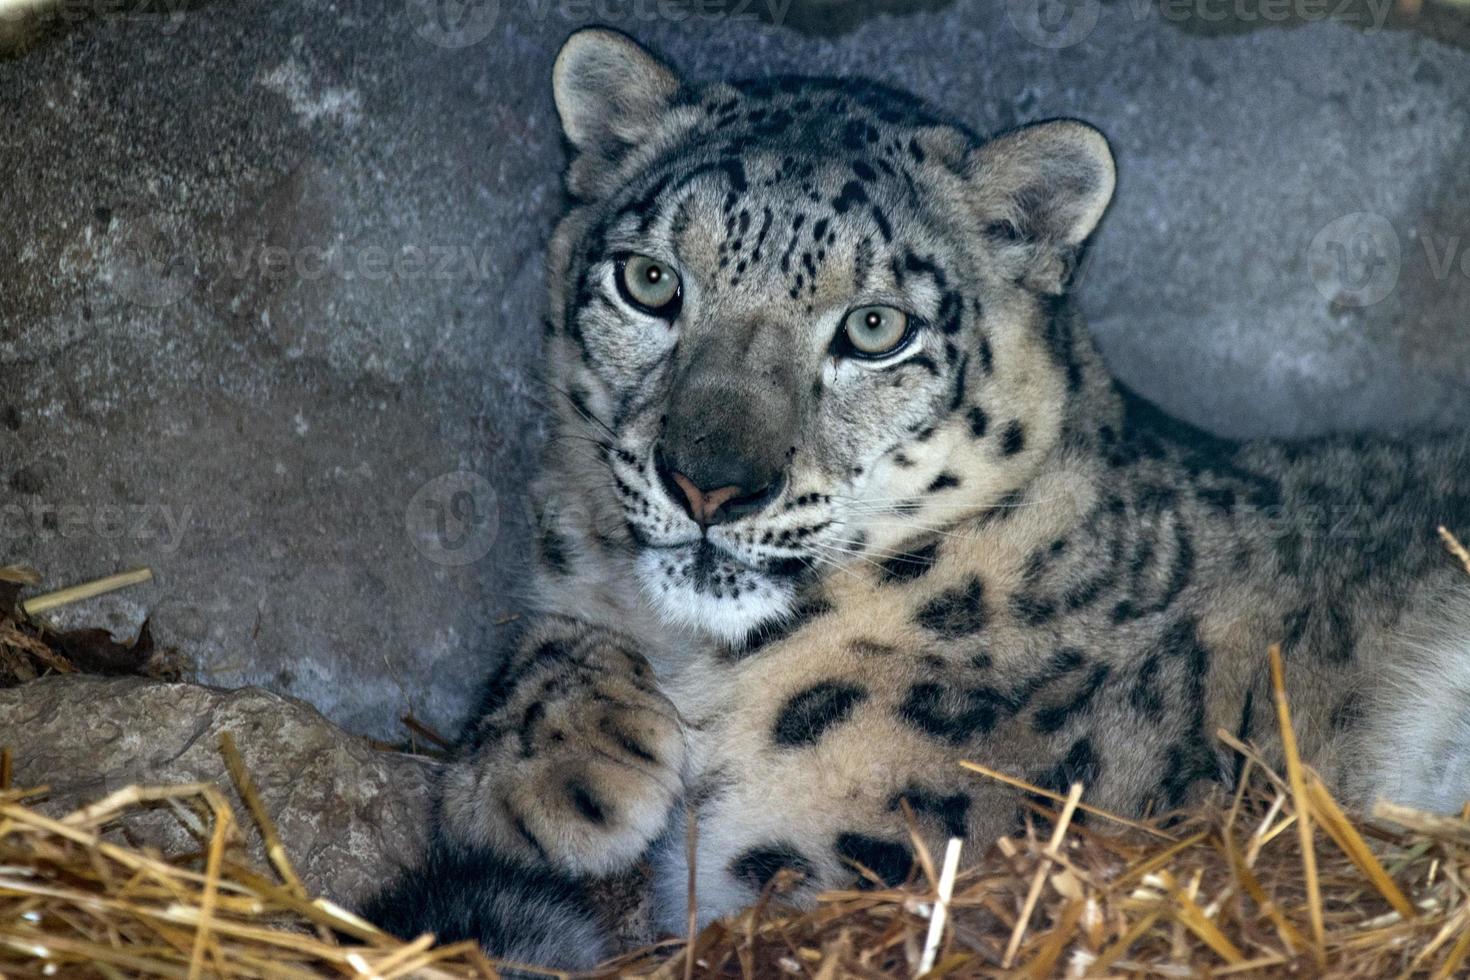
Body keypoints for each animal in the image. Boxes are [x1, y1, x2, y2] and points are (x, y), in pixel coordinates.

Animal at [364, 26, 1470, 969]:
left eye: (874, 327)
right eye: (649, 281)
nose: (710, 483)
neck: (711, 667)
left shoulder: (854, 864)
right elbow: (556, 622)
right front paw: (552, 766)